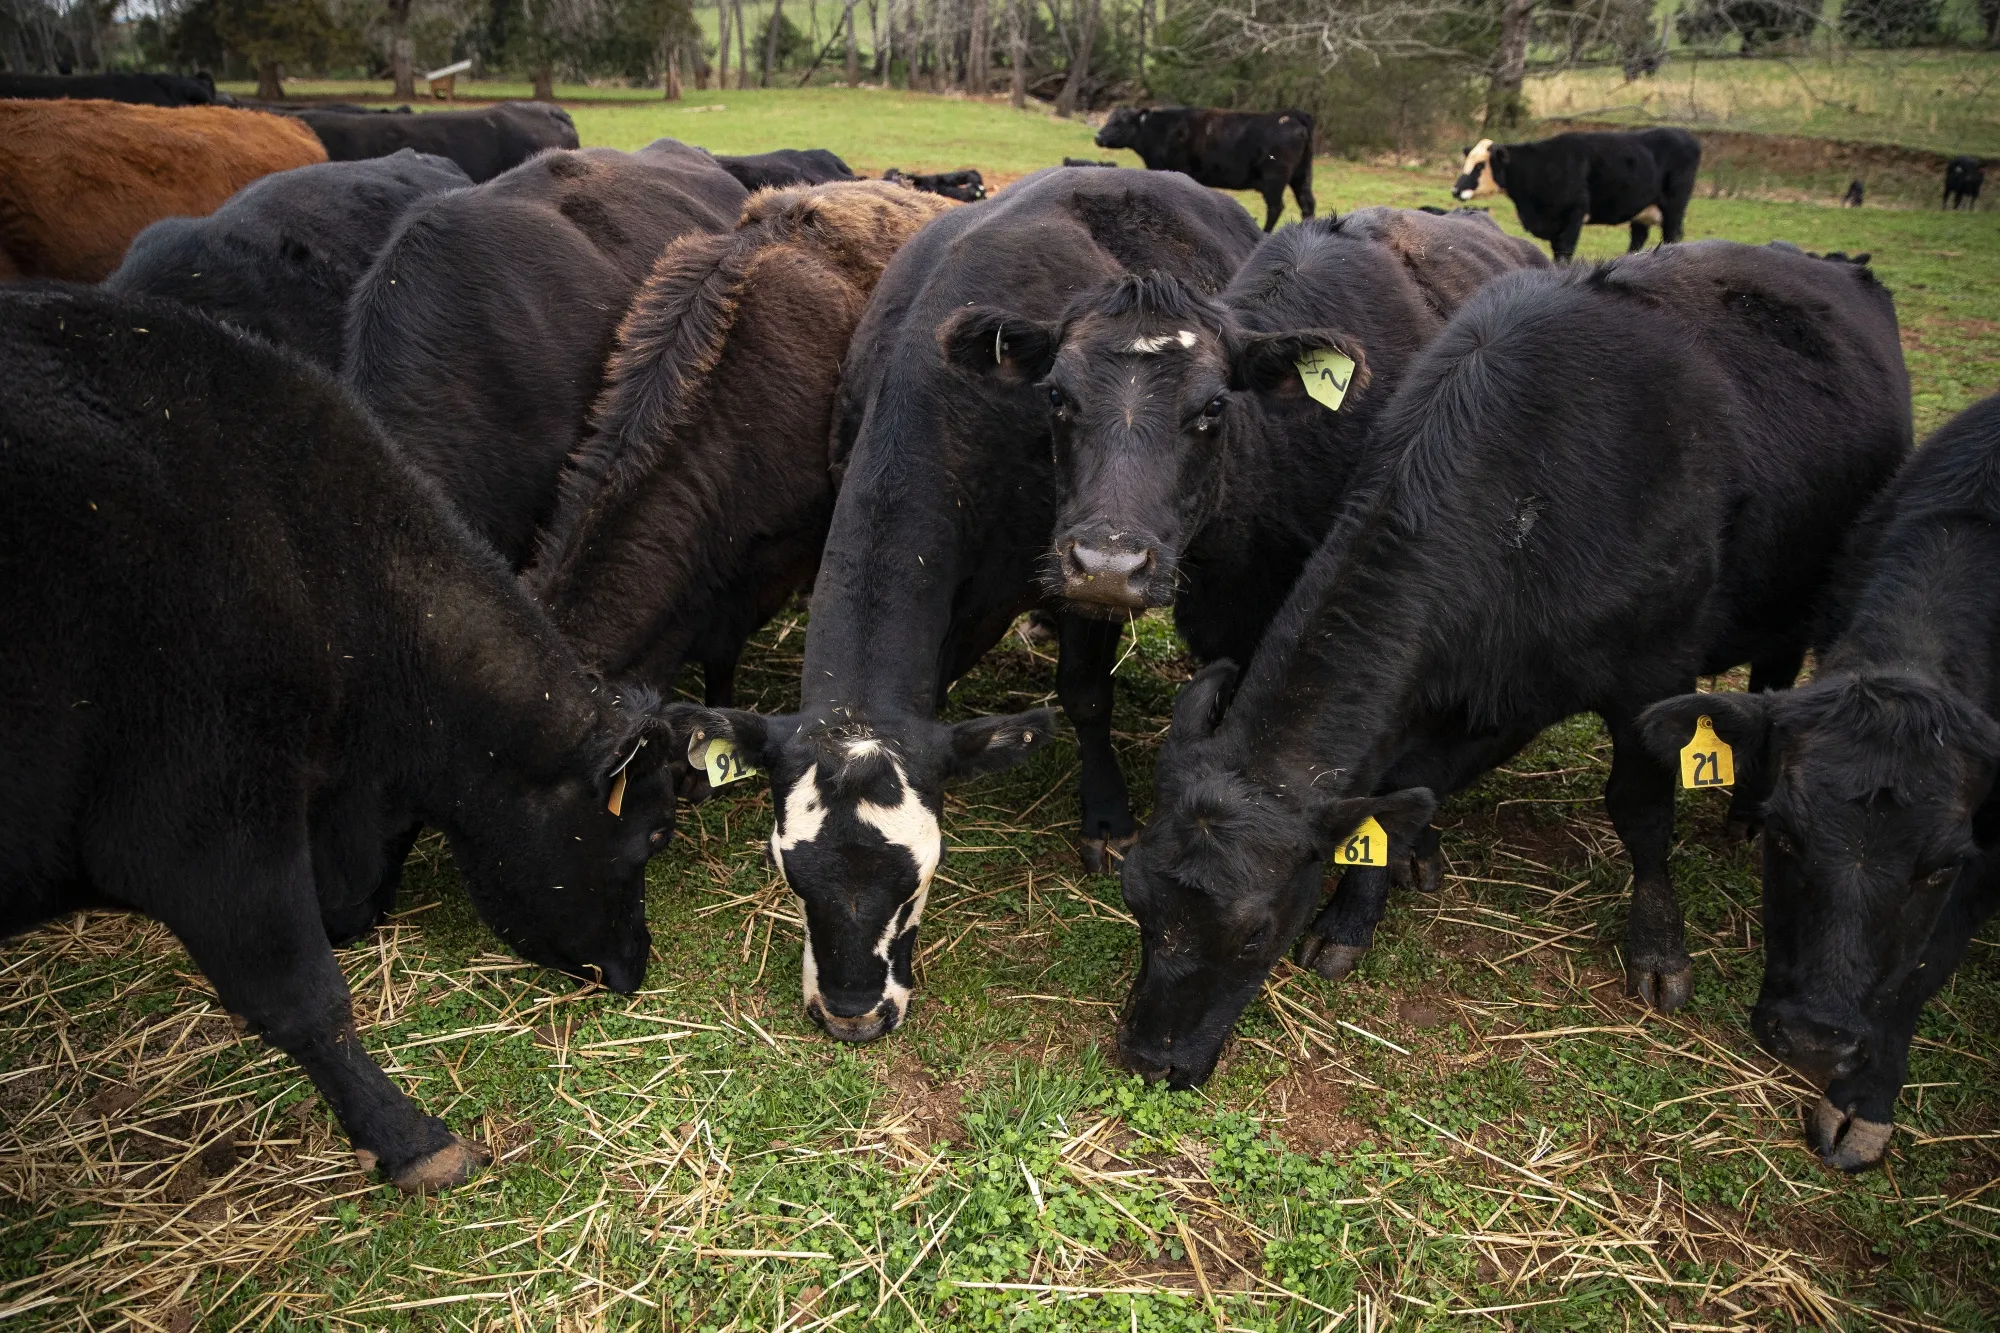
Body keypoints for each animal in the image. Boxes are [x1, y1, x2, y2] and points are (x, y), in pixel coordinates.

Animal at [681, 168, 1263, 1045]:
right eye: (789, 872)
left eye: (922, 873)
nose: (853, 1014)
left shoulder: (1075, 561)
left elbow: (1085, 692)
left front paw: (1106, 819)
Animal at [1094, 106, 1316, 233]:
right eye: (1109, 119)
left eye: (1119, 123)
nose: (1098, 137)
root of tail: (1289, 114)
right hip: (1301, 176)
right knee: (1307, 204)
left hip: (1275, 178)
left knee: (1276, 207)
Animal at [1111, 241, 1910, 1089]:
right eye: (1134, 895)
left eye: (1257, 931)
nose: (1153, 1057)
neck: (1530, 499)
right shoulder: (1482, 688)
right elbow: (1400, 791)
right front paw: (1353, 918)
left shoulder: (1652, 673)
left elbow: (1641, 808)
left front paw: (1659, 947)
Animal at [1452, 128, 1700, 261]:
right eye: (1467, 162)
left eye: (1480, 166)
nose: (1455, 190)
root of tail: (1684, 134)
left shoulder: (1574, 214)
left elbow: (1565, 251)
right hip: (1642, 212)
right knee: (1638, 239)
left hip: (1674, 208)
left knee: (1672, 236)